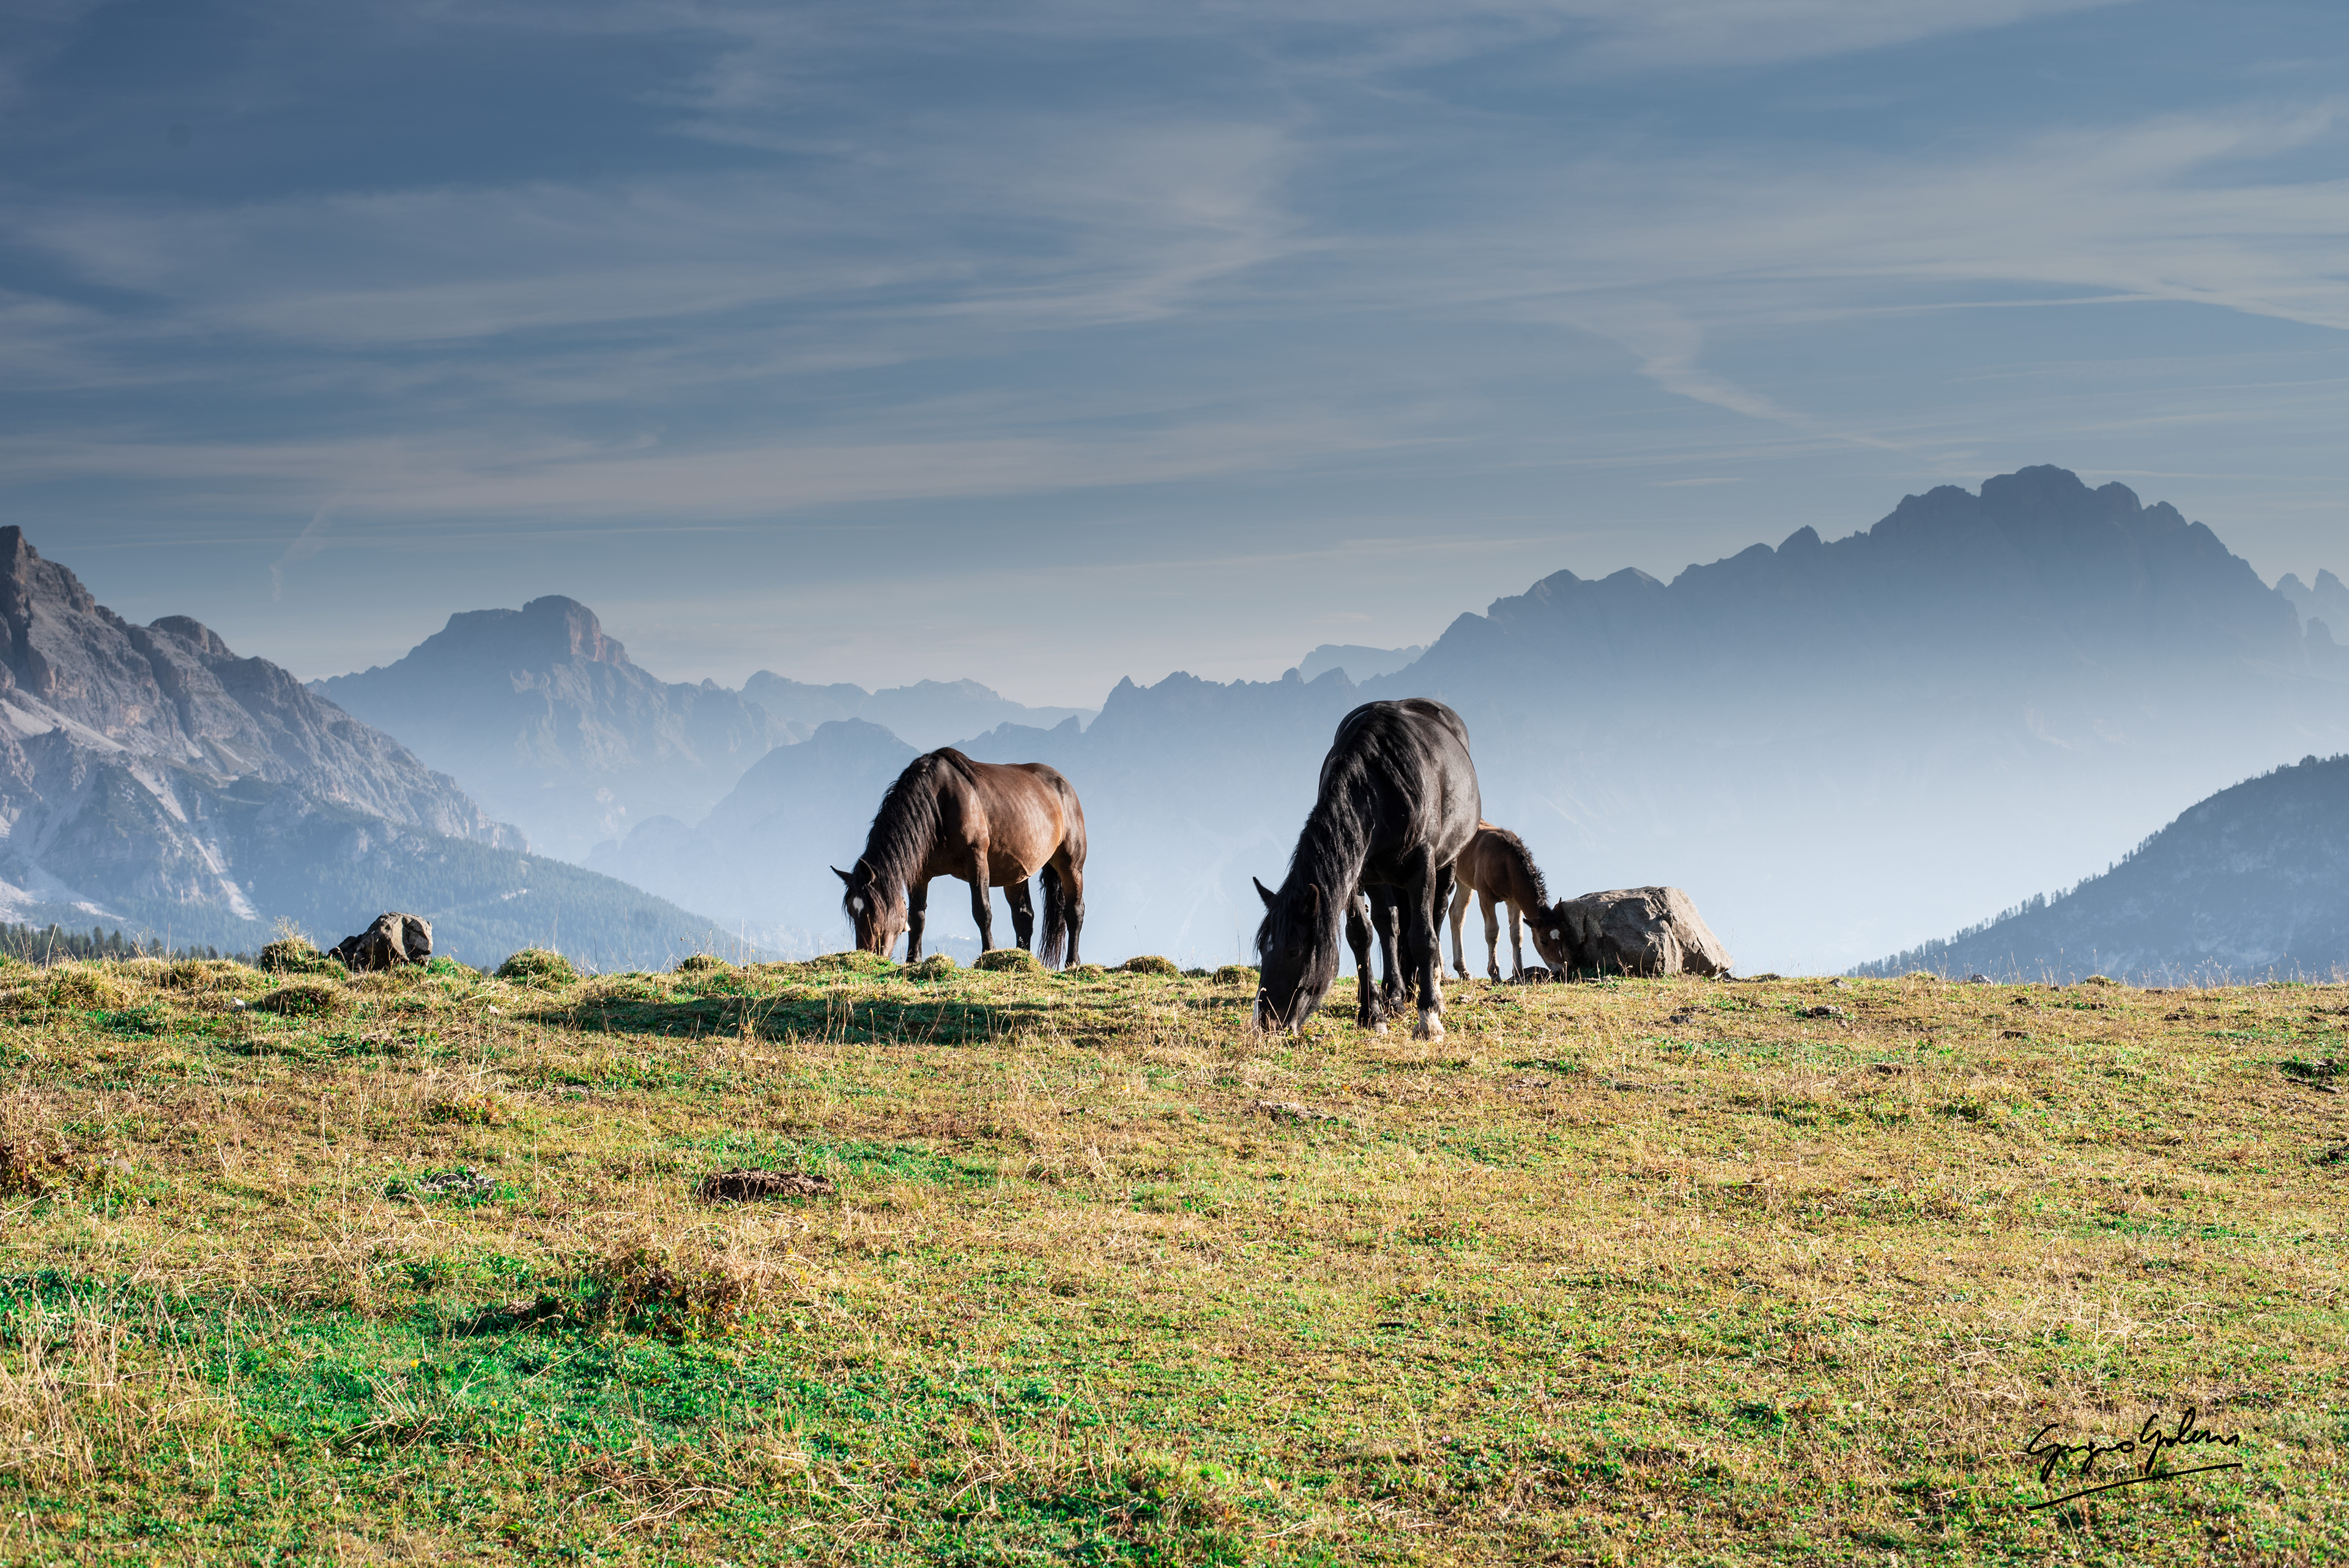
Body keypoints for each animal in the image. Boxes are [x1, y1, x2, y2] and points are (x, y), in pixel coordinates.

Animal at [833, 748, 1087, 968]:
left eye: (874, 908)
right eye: (853, 912)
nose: (868, 954)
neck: (936, 805)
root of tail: (1063, 785)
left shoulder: (976, 861)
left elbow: (982, 911)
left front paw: (988, 953)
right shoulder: (920, 874)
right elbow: (917, 917)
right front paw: (913, 960)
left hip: (1071, 865)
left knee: (1074, 911)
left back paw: (1073, 962)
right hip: (1015, 874)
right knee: (1024, 917)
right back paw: (1022, 960)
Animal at [1251, 699, 1480, 1039]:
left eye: (1293, 950)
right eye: (1264, 951)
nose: (1266, 1024)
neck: (1379, 786)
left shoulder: (1422, 865)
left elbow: (1423, 937)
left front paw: (1428, 1019)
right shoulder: (1360, 873)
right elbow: (1363, 934)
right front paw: (1372, 1013)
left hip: (1446, 864)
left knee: (1437, 915)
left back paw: (1433, 992)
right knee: (1391, 922)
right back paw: (1395, 994)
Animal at [1447, 821, 1576, 982]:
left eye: (1563, 937)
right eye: (1543, 941)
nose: (1560, 971)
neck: (1504, 861)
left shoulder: (1514, 901)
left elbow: (1517, 934)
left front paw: (1519, 972)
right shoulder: (1485, 897)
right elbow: (1492, 932)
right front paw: (1495, 973)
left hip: (1464, 883)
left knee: (1456, 914)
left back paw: (1463, 970)